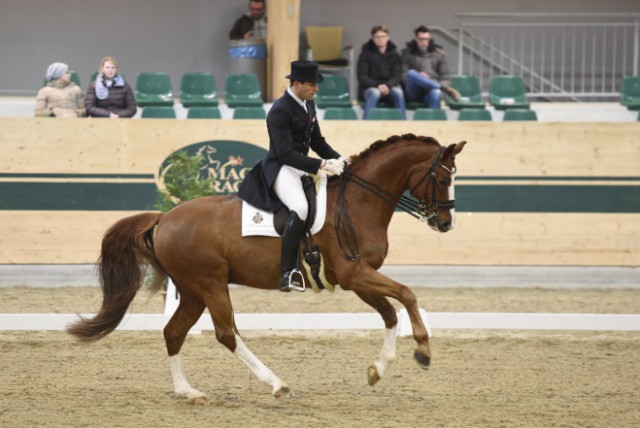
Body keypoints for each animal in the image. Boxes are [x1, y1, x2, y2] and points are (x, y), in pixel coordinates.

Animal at [66, 133, 464, 402]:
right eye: (444, 178)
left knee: (174, 332)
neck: (358, 202)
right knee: (226, 333)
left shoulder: (358, 279)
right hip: (210, 284)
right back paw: (276, 383)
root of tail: (164, 218)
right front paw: (423, 351)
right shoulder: (356, 275)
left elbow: (390, 314)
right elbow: (407, 295)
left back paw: (187, 391)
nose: (446, 224)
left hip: (193, 290)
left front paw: (378, 370)